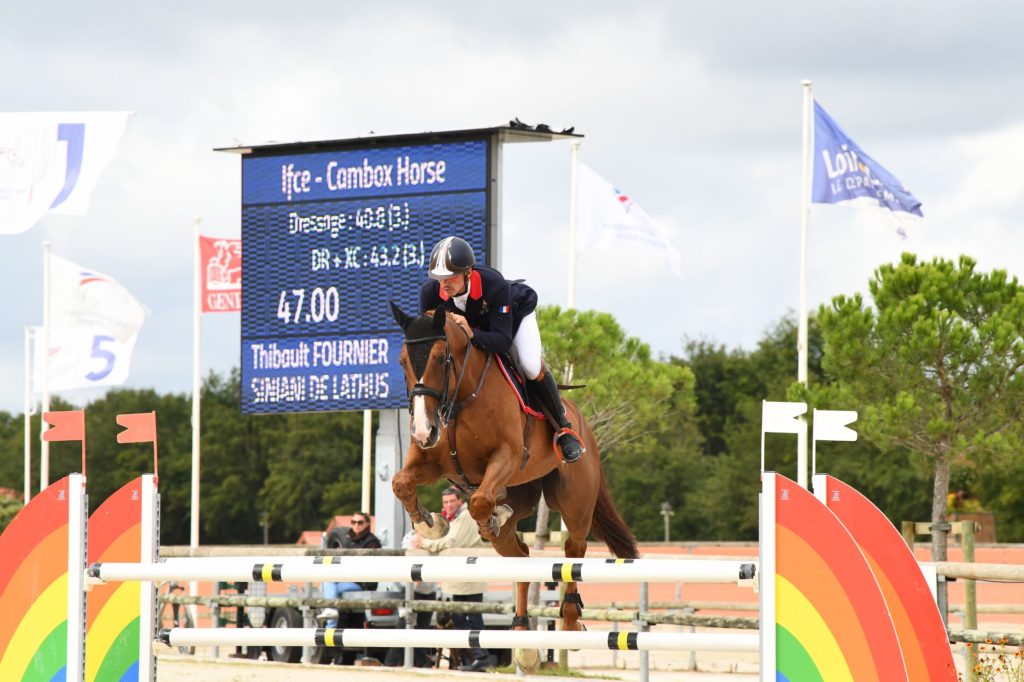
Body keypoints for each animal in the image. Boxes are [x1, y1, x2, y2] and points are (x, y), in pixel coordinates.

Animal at [387, 305, 634, 647]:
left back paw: (571, 620)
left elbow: (479, 500)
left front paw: (488, 516)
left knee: (574, 550)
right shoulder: (429, 459)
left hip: (575, 500)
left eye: (441, 358)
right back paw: (519, 630)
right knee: (521, 556)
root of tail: (582, 422)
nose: (423, 431)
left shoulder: (507, 456)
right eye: (402, 361)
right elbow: (401, 482)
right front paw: (430, 523)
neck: (461, 397)